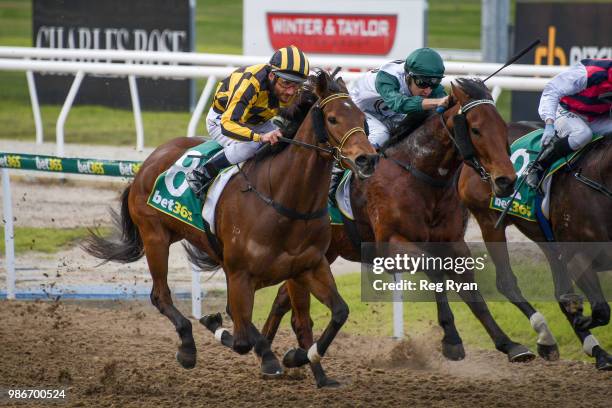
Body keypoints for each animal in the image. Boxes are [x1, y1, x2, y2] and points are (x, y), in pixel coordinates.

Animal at [81, 71, 378, 388]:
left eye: (362, 117)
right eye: (333, 118)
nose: (367, 159)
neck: (284, 200)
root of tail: (149, 161)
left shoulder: (308, 266)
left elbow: (337, 313)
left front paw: (315, 367)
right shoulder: (240, 273)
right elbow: (242, 336)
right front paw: (268, 356)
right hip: (155, 237)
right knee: (161, 296)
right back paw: (188, 347)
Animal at [262, 79, 536, 364]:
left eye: (502, 127)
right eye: (476, 129)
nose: (506, 181)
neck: (420, 175)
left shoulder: (453, 242)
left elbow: (471, 292)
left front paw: (510, 344)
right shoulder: (391, 244)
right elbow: (435, 270)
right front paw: (451, 338)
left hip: (324, 253)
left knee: (281, 299)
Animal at [462, 121, 608, 370]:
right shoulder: (577, 256)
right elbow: (600, 310)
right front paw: (579, 318)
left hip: (546, 239)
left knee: (559, 289)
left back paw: (596, 350)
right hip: (490, 221)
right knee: (506, 282)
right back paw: (544, 338)